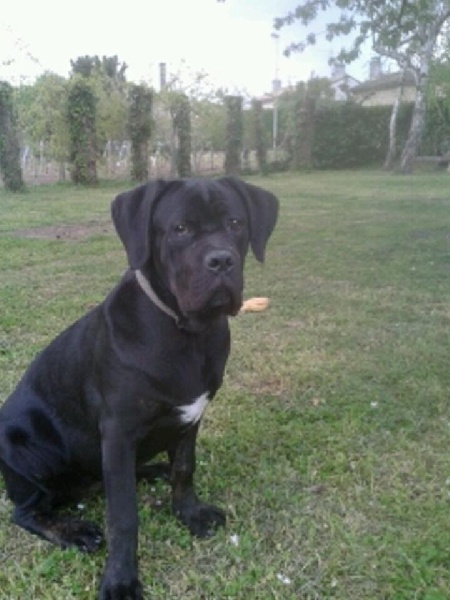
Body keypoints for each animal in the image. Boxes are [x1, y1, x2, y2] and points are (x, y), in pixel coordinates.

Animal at [0, 177, 278, 599]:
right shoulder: (117, 432)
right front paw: (121, 580)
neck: (185, 331)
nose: (221, 261)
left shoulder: (190, 418)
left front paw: (190, 514)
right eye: (180, 229)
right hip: (29, 453)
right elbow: (123, 516)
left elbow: (184, 469)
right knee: (27, 511)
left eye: (235, 223)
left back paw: (152, 470)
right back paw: (73, 531)